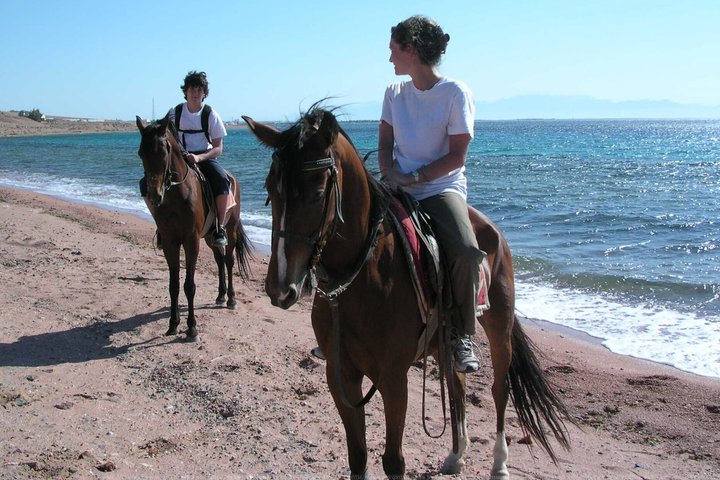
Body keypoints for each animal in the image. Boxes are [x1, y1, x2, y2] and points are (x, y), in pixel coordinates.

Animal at [135, 114, 252, 340]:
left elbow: (189, 285)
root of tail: (233, 178)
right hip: (209, 236)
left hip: (230, 229)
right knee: (219, 260)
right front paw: (173, 324)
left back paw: (231, 299)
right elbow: (173, 285)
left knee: (229, 260)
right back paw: (221, 295)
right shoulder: (171, 242)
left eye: (163, 152)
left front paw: (191, 327)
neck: (176, 195)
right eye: (140, 153)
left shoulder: (190, 241)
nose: (154, 195)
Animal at [242, 106, 571, 479]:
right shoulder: (341, 376)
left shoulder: (393, 378)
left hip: (499, 327)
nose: (280, 288)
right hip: (444, 343)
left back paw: (499, 464)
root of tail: (491, 230)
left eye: (316, 193)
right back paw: (456, 455)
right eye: (271, 188)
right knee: (457, 384)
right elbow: (358, 456)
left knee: (499, 390)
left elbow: (393, 461)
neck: (361, 279)